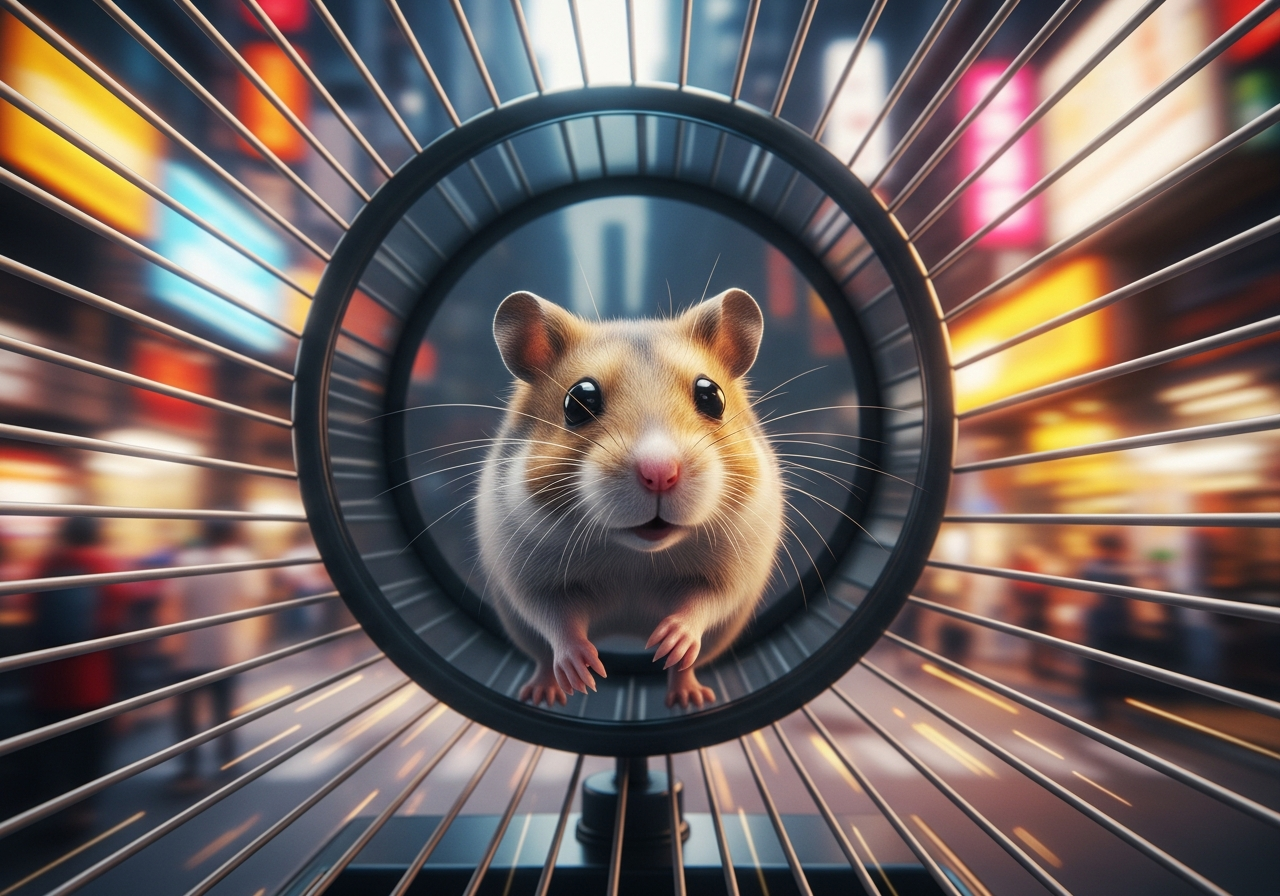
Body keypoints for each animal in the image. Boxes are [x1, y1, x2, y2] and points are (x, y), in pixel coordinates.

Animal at [475, 288, 785, 709]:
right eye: (578, 400)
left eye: (712, 396)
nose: (659, 473)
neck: (636, 557)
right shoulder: (528, 575)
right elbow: (555, 618)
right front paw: (585, 672)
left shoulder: (733, 571)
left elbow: (705, 602)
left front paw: (670, 641)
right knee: (542, 654)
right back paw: (545, 694)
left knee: (688, 664)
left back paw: (690, 697)